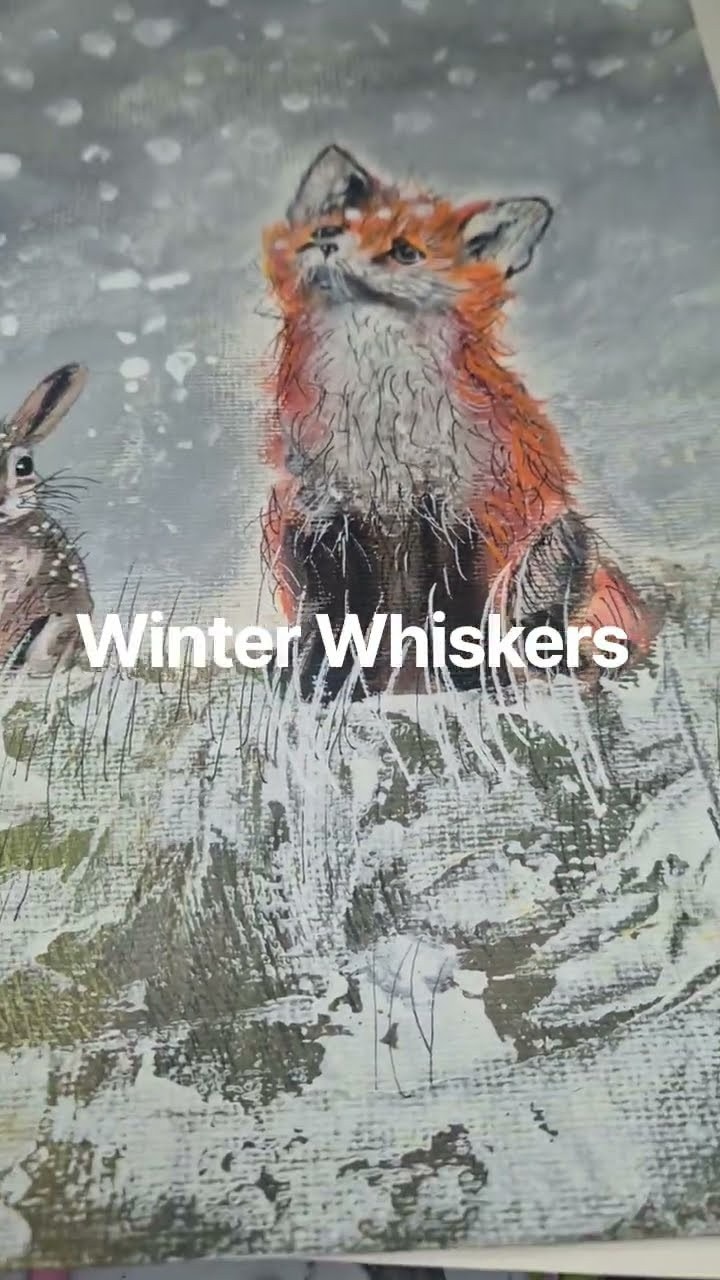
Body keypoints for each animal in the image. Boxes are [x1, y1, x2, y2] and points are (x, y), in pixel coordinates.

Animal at [260, 143, 655, 701]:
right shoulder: (328, 514)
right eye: (327, 229)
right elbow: (340, 622)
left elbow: (459, 615)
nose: (326, 244)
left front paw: (474, 688)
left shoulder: (460, 508)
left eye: (405, 252)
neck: (382, 431)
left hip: (559, 541)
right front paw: (327, 689)